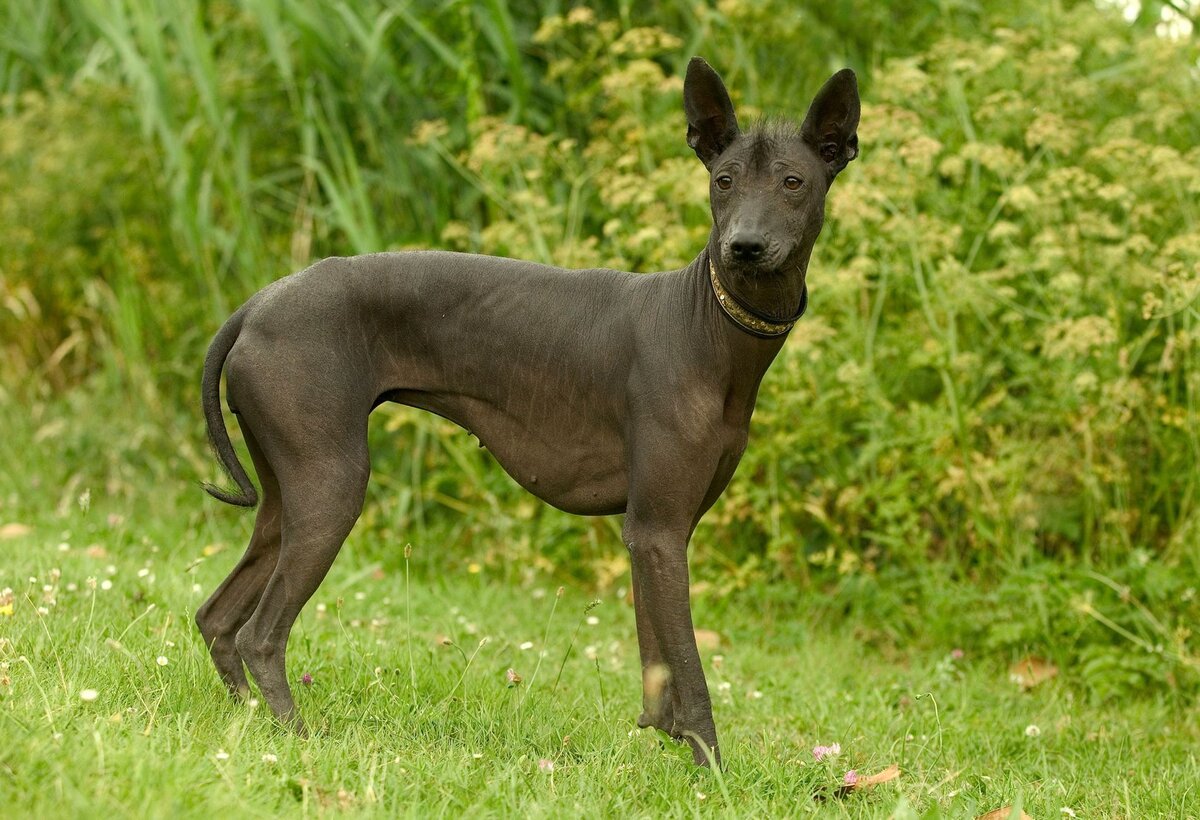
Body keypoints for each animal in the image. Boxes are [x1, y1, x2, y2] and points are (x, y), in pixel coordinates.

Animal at [201, 59, 859, 768]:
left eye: (794, 182)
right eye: (724, 180)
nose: (745, 246)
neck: (706, 325)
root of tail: (259, 303)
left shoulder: (652, 534)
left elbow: (658, 667)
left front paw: (661, 744)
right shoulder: (659, 531)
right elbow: (691, 672)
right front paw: (713, 771)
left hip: (287, 499)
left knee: (217, 618)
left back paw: (246, 724)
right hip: (330, 491)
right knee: (260, 636)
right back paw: (296, 740)